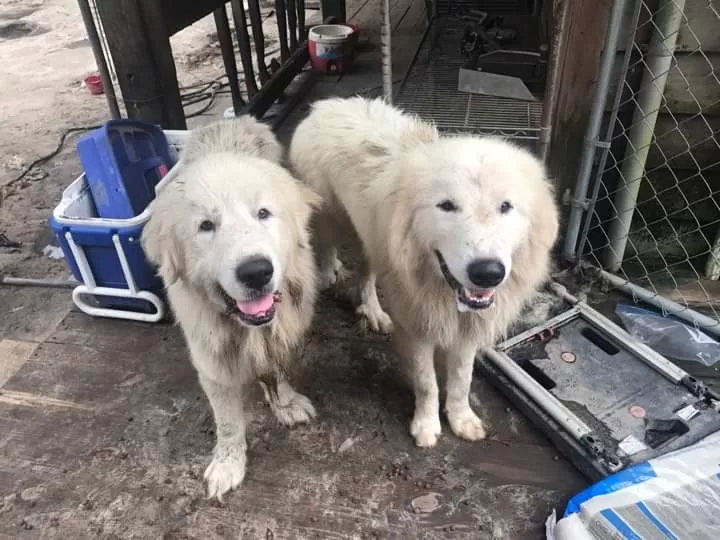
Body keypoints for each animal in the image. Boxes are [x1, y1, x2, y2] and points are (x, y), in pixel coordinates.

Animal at [142, 117, 320, 498]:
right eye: (206, 226)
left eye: (263, 213)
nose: (256, 272)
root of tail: (231, 119)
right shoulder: (212, 360)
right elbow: (227, 424)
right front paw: (227, 464)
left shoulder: (280, 331)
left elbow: (277, 369)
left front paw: (285, 403)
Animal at [290, 97, 560, 448]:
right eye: (446, 206)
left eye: (505, 207)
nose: (487, 273)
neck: (441, 288)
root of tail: (324, 105)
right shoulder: (417, 327)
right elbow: (426, 383)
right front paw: (427, 426)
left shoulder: (467, 328)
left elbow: (461, 379)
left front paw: (461, 420)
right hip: (331, 221)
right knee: (326, 248)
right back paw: (329, 274)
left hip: (371, 239)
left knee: (366, 275)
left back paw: (373, 311)